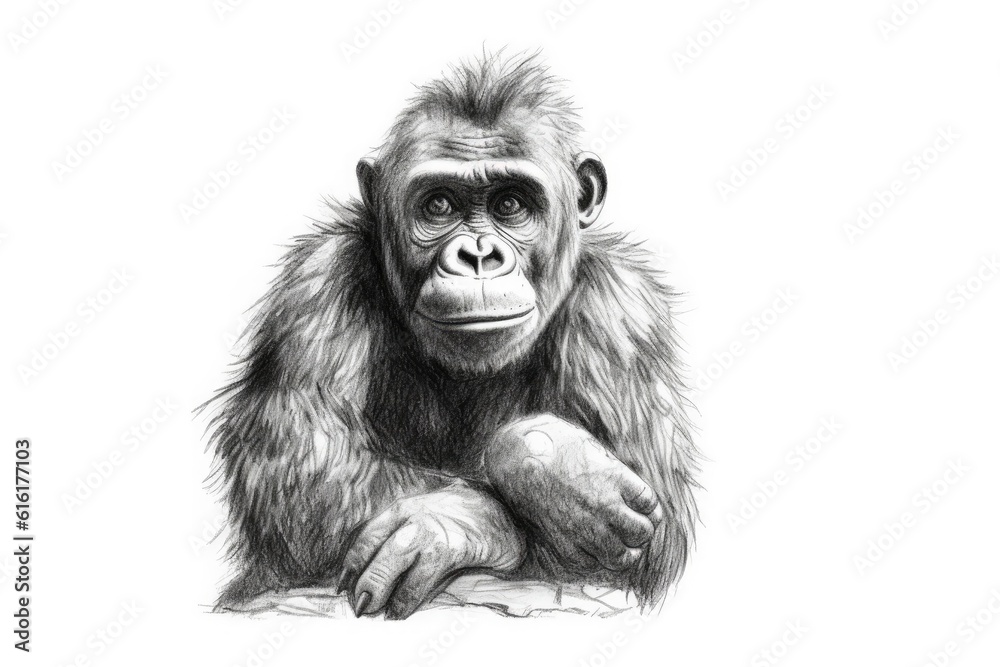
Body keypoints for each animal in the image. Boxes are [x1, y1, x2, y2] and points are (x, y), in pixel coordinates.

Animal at [207, 52, 699, 620]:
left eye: (510, 204)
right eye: (439, 204)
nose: (478, 254)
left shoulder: (623, 314)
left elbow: (656, 549)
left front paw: (547, 465)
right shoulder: (314, 287)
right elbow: (303, 472)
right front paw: (472, 515)